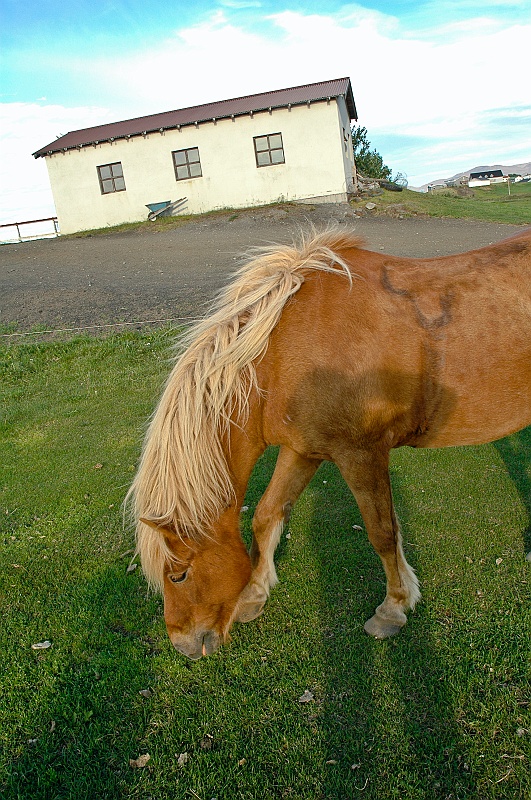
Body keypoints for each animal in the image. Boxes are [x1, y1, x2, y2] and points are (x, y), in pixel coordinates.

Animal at [128, 227, 531, 660]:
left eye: (179, 574)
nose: (185, 645)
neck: (283, 353)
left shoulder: (361, 454)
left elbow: (383, 533)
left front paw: (393, 607)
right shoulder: (303, 449)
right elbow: (266, 514)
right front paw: (254, 594)